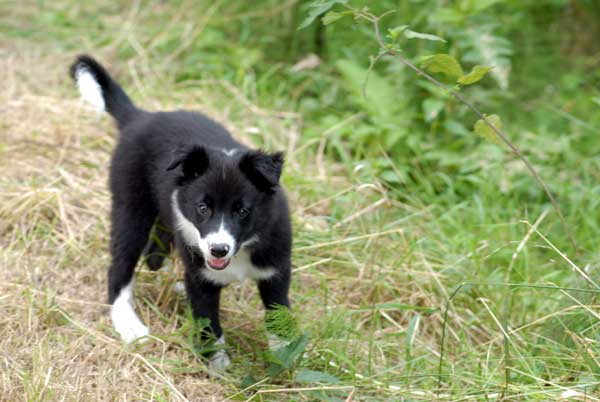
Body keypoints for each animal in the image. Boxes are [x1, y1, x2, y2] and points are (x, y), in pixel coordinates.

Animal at [69, 55, 292, 370]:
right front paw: (220, 367)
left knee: (154, 255)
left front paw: (286, 359)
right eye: (203, 208)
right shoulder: (202, 278)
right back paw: (130, 325)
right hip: (131, 209)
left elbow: (278, 317)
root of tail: (140, 117)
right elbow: (209, 324)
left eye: (243, 211)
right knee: (120, 267)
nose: (218, 250)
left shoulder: (276, 270)